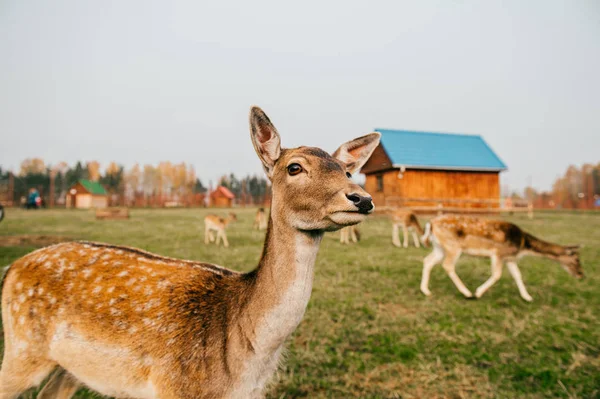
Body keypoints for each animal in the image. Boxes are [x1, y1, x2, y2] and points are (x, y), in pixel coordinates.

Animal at [0, 106, 380, 399]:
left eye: (347, 170)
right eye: (295, 167)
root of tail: (12, 270)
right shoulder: (175, 386)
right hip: (21, 349)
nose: (362, 198)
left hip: (68, 368)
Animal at [420, 216, 584, 304]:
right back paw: (467, 293)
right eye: (576, 259)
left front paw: (528, 297)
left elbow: (518, 275)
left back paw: (426, 291)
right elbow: (497, 275)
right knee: (447, 265)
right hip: (453, 247)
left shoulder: (509, 258)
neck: (523, 245)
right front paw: (478, 293)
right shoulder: (498, 254)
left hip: (439, 248)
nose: (581, 274)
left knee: (427, 261)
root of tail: (431, 223)